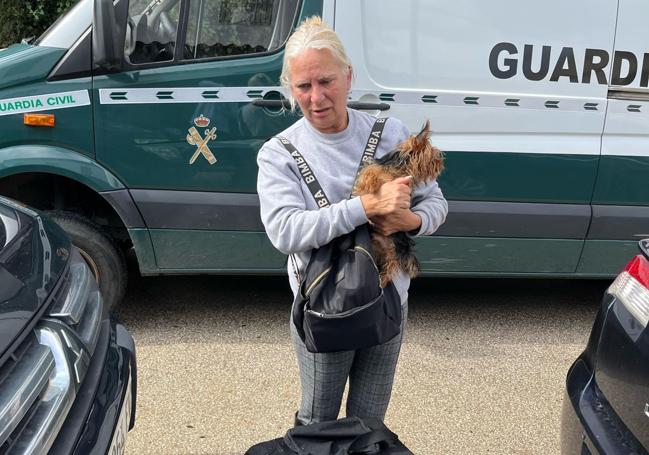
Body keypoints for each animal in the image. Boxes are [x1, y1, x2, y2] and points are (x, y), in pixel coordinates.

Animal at [354, 119, 440, 286]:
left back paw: (383, 279)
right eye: (434, 157)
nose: (440, 163)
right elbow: (369, 172)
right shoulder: (375, 167)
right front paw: (369, 185)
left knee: (392, 263)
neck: (401, 168)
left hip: (393, 248)